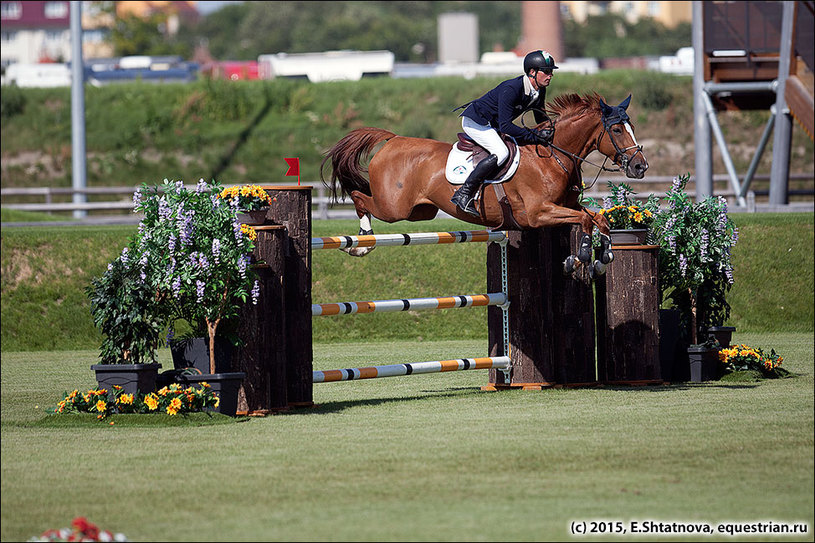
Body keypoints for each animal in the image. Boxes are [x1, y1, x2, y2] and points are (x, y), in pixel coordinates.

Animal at [322, 92, 648, 276]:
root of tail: (393, 139)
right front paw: (579, 258)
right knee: (360, 197)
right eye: (617, 130)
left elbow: (598, 218)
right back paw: (362, 243)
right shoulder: (538, 213)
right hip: (394, 207)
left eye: (631, 126)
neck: (552, 155)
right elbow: (585, 220)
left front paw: (601, 258)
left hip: (420, 211)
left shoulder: (565, 206)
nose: (640, 166)